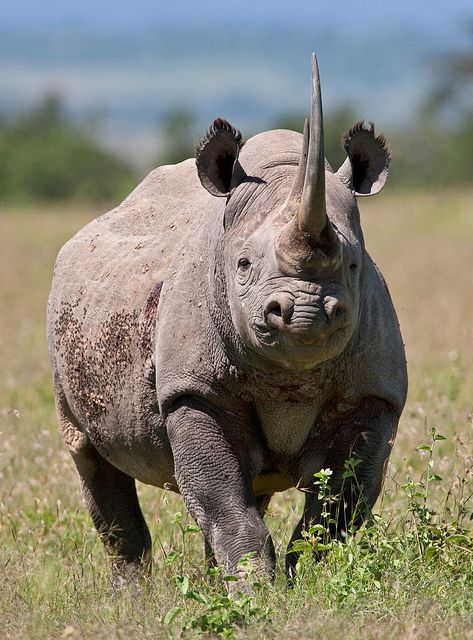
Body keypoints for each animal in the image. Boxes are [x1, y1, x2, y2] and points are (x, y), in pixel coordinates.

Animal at [47, 55, 407, 588]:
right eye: (242, 265)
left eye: (354, 265)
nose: (305, 314)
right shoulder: (192, 389)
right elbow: (221, 500)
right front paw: (257, 592)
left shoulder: (374, 392)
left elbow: (338, 507)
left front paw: (304, 582)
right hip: (65, 321)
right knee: (90, 456)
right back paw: (131, 595)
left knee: (254, 487)